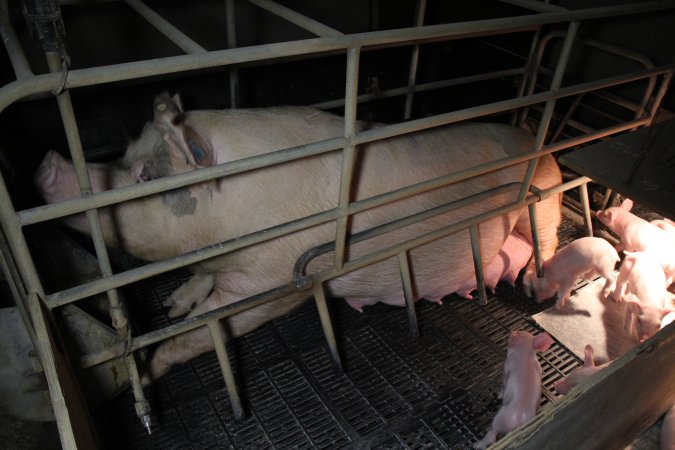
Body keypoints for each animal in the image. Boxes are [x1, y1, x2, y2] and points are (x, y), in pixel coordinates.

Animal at [34, 93, 564, 382]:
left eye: (145, 176)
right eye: (125, 156)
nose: (48, 161)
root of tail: (540, 140)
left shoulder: (270, 284)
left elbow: (202, 332)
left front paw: (145, 370)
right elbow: (196, 286)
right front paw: (171, 306)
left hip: (544, 199)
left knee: (547, 239)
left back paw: (536, 289)